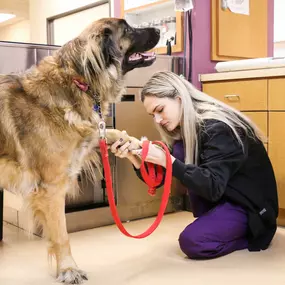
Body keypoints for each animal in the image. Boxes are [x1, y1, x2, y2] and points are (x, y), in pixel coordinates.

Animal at [0, 17, 160, 282]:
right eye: (127, 29)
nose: (159, 29)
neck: (78, 80)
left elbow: (107, 131)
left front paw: (136, 143)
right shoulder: (52, 188)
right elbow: (62, 235)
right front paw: (68, 269)